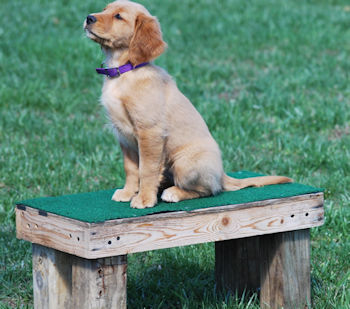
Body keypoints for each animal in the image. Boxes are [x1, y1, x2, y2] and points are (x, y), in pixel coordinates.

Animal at [83, 0, 292, 208]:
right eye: (104, 9)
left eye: (119, 16)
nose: (89, 18)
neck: (123, 72)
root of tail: (222, 174)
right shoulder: (123, 135)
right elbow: (131, 169)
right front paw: (128, 192)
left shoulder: (149, 132)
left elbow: (147, 169)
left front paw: (144, 199)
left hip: (183, 162)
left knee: (210, 190)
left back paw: (173, 193)